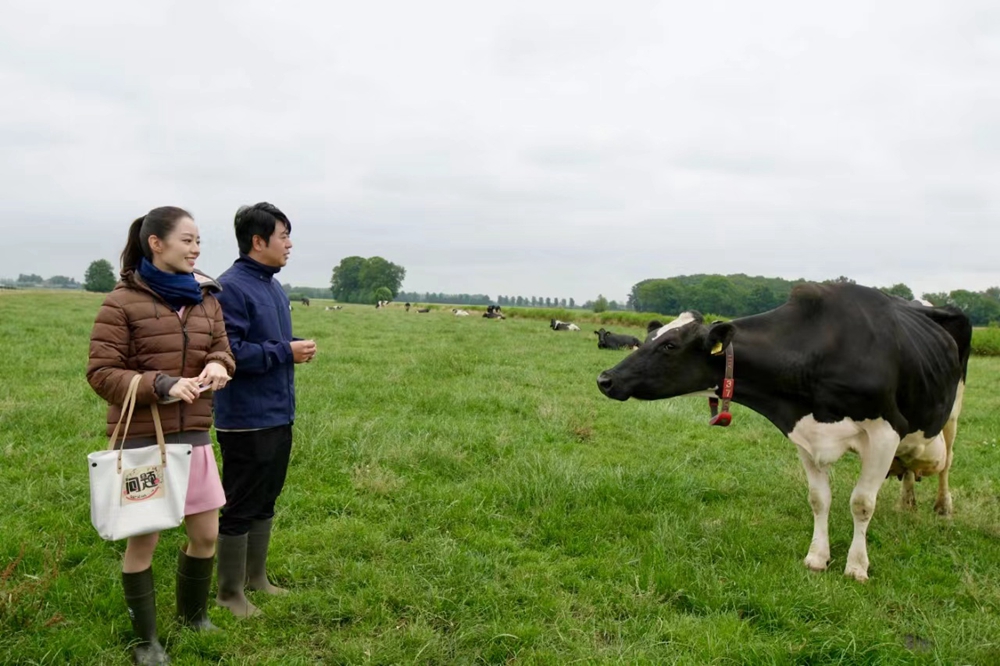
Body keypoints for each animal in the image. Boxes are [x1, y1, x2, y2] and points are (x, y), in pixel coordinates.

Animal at [592, 282, 968, 580]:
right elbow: (819, 499)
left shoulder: (885, 432)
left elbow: (862, 503)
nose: (605, 379)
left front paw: (857, 566)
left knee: (947, 462)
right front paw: (817, 557)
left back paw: (942, 507)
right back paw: (907, 502)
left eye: (669, 346)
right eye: (648, 338)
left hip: (952, 412)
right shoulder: (803, 433)